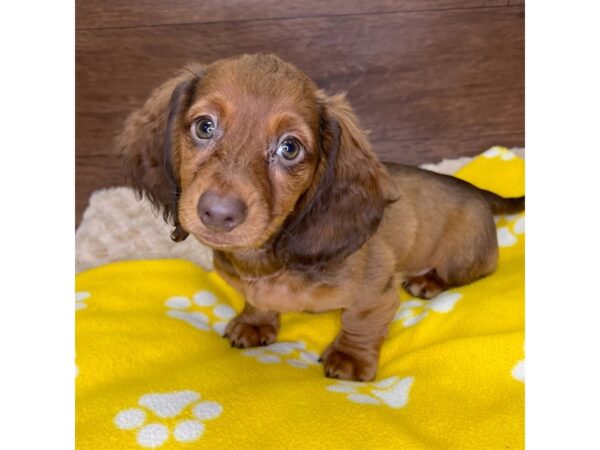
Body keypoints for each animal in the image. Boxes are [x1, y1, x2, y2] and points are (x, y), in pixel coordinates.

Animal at [118, 54, 524, 382]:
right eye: (204, 126)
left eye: (290, 148)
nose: (218, 213)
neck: (268, 262)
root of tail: (480, 193)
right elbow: (256, 301)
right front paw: (254, 323)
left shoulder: (377, 295)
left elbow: (359, 322)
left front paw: (349, 359)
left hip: (463, 258)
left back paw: (429, 281)